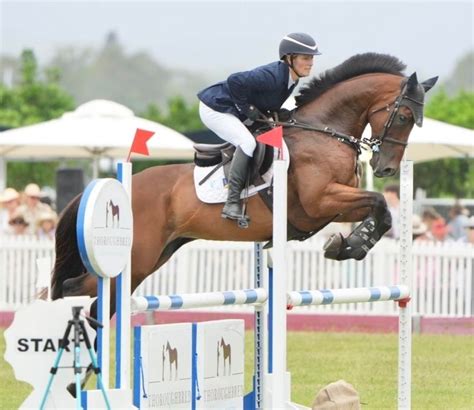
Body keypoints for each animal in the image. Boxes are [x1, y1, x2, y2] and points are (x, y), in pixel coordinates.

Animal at [49, 52, 436, 314]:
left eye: (418, 120)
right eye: (404, 116)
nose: (386, 168)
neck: (324, 132)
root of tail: (116, 185)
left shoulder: (329, 208)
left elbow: (380, 210)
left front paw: (347, 244)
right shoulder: (321, 201)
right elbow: (379, 203)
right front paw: (349, 246)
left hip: (156, 255)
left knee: (88, 293)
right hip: (138, 257)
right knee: (83, 291)